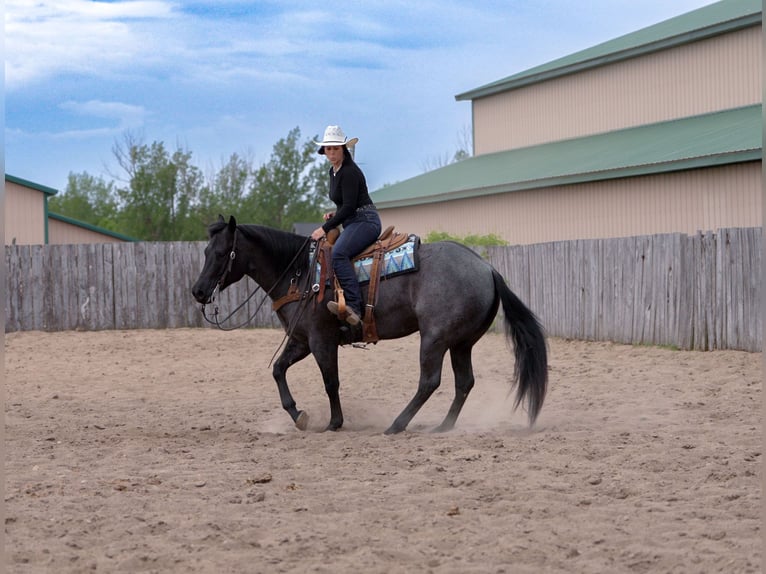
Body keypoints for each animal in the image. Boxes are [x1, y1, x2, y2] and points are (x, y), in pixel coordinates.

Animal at [192, 215, 548, 434]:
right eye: (205, 250)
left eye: (222, 253)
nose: (198, 291)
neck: (301, 273)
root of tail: (487, 268)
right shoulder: (301, 340)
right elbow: (278, 370)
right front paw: (299, 416)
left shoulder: (321, 341)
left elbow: (331, 382)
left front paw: (334, 423)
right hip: (461, 342)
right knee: (464, 383)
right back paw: (442, 427)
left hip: (434, 338)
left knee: (429, 382)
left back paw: (397, 425)